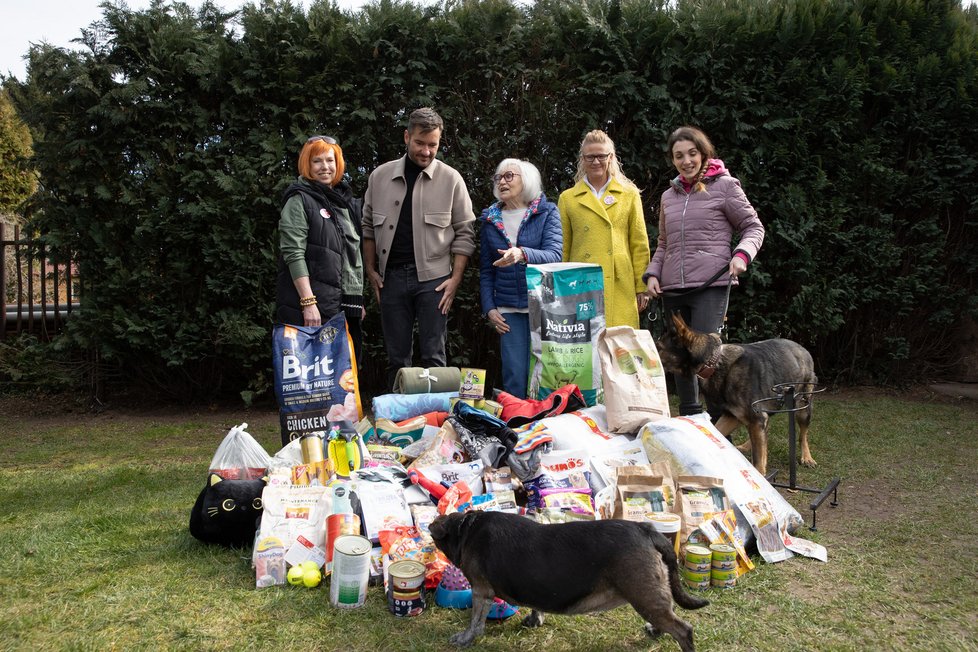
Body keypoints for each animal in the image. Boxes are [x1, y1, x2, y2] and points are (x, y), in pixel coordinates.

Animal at [430, 512, 704, 648]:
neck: (467, 527)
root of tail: (646, 530)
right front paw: (535, 619)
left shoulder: (481, 591)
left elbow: (475, 622)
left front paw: (465, 639)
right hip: (650, 594)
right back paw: (655, 631)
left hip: (643, 594)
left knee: (684, 630)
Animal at [656, 314, 816, 476]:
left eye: (659, 348)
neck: (714, 362)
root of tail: (803, 349)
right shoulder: (732, 416)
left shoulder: (755, 418)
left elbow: (758, 463)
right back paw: (747, 445)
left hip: (802, 409)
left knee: (802, 435)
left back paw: (807, 457)